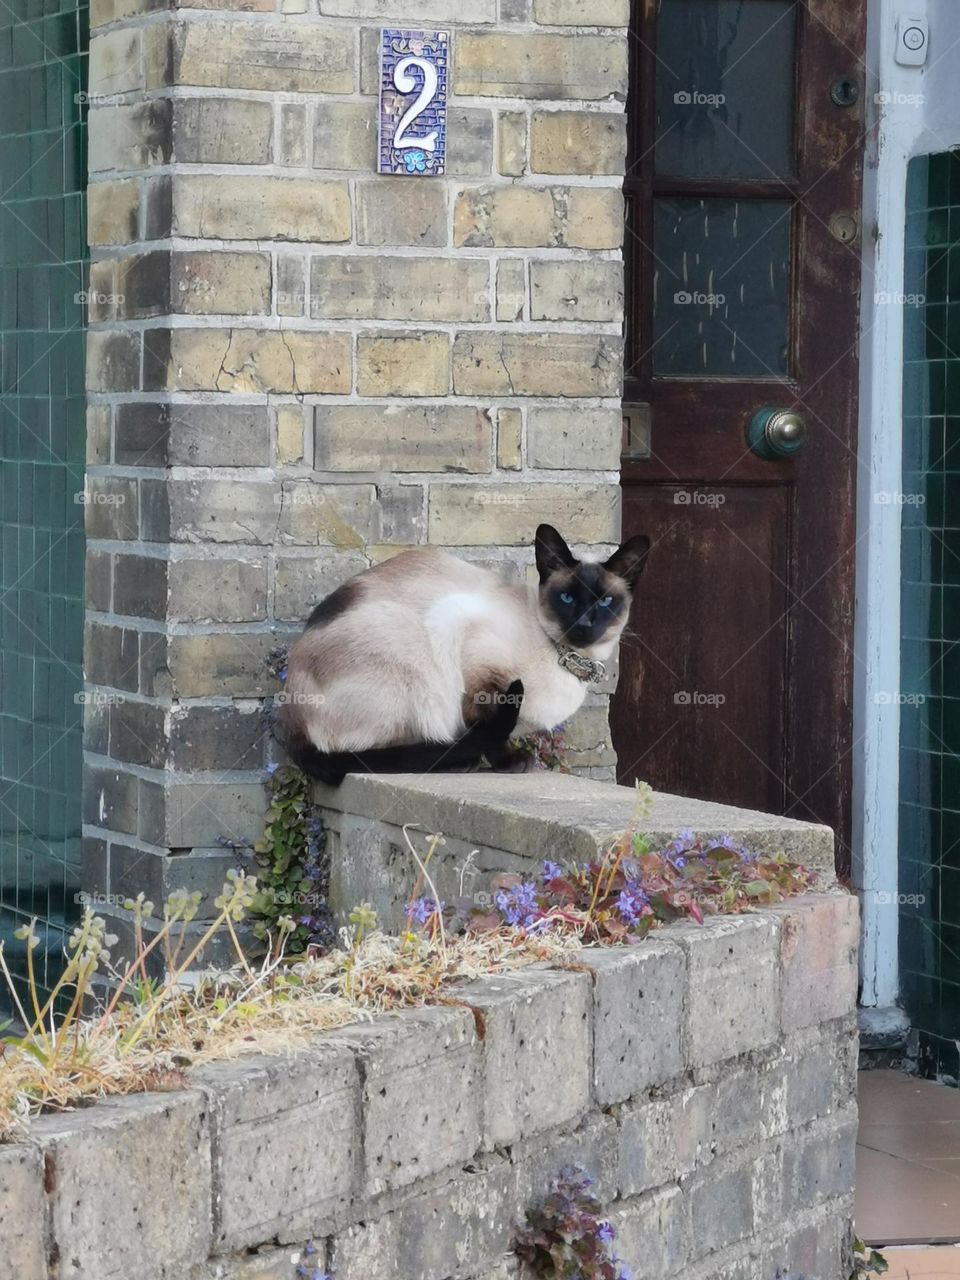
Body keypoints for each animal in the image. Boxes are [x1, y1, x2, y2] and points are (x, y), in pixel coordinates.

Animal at [280, 524, 655, 783]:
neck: (562, 654)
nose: (583, 623)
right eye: (567, 598)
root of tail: (291, 721)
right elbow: (486, 720)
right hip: (412, 660)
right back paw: (455, 760)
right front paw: (508, 762)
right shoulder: (474, 657)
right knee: (376, 754)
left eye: (605, 602)